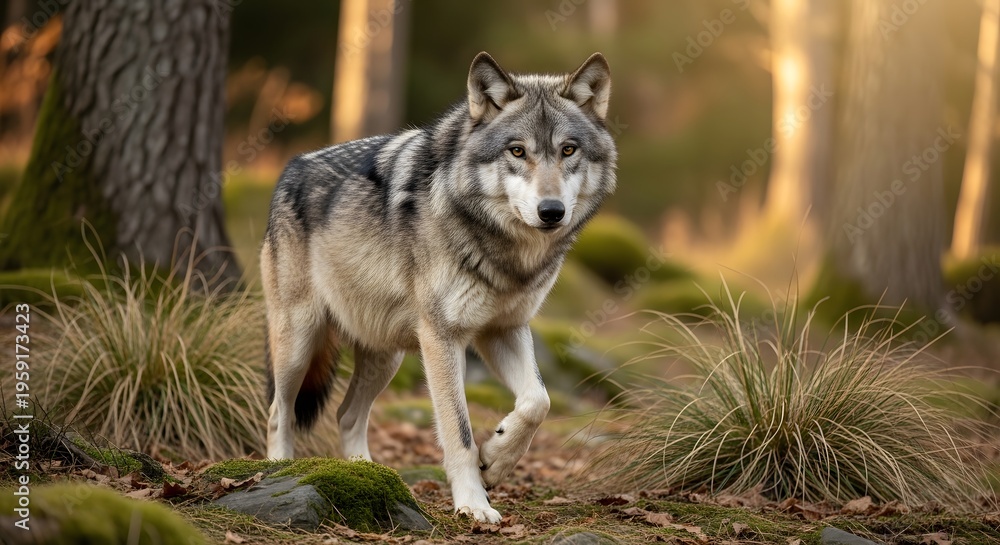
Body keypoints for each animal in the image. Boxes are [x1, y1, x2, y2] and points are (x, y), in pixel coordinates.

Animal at [261, 51, 616, 522]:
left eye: (568, 150)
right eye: (517, 151)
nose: (552, 211)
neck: (506, 254)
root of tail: (291, 167)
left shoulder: (503, 330)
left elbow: (538, 402)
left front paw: (496, 460)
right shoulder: (443, 337)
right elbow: (459, 432)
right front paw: (474, 503)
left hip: (387, 356)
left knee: (346, 415)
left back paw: (368, 476)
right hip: (300, 342)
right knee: (278, 411)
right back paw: (279, 470)